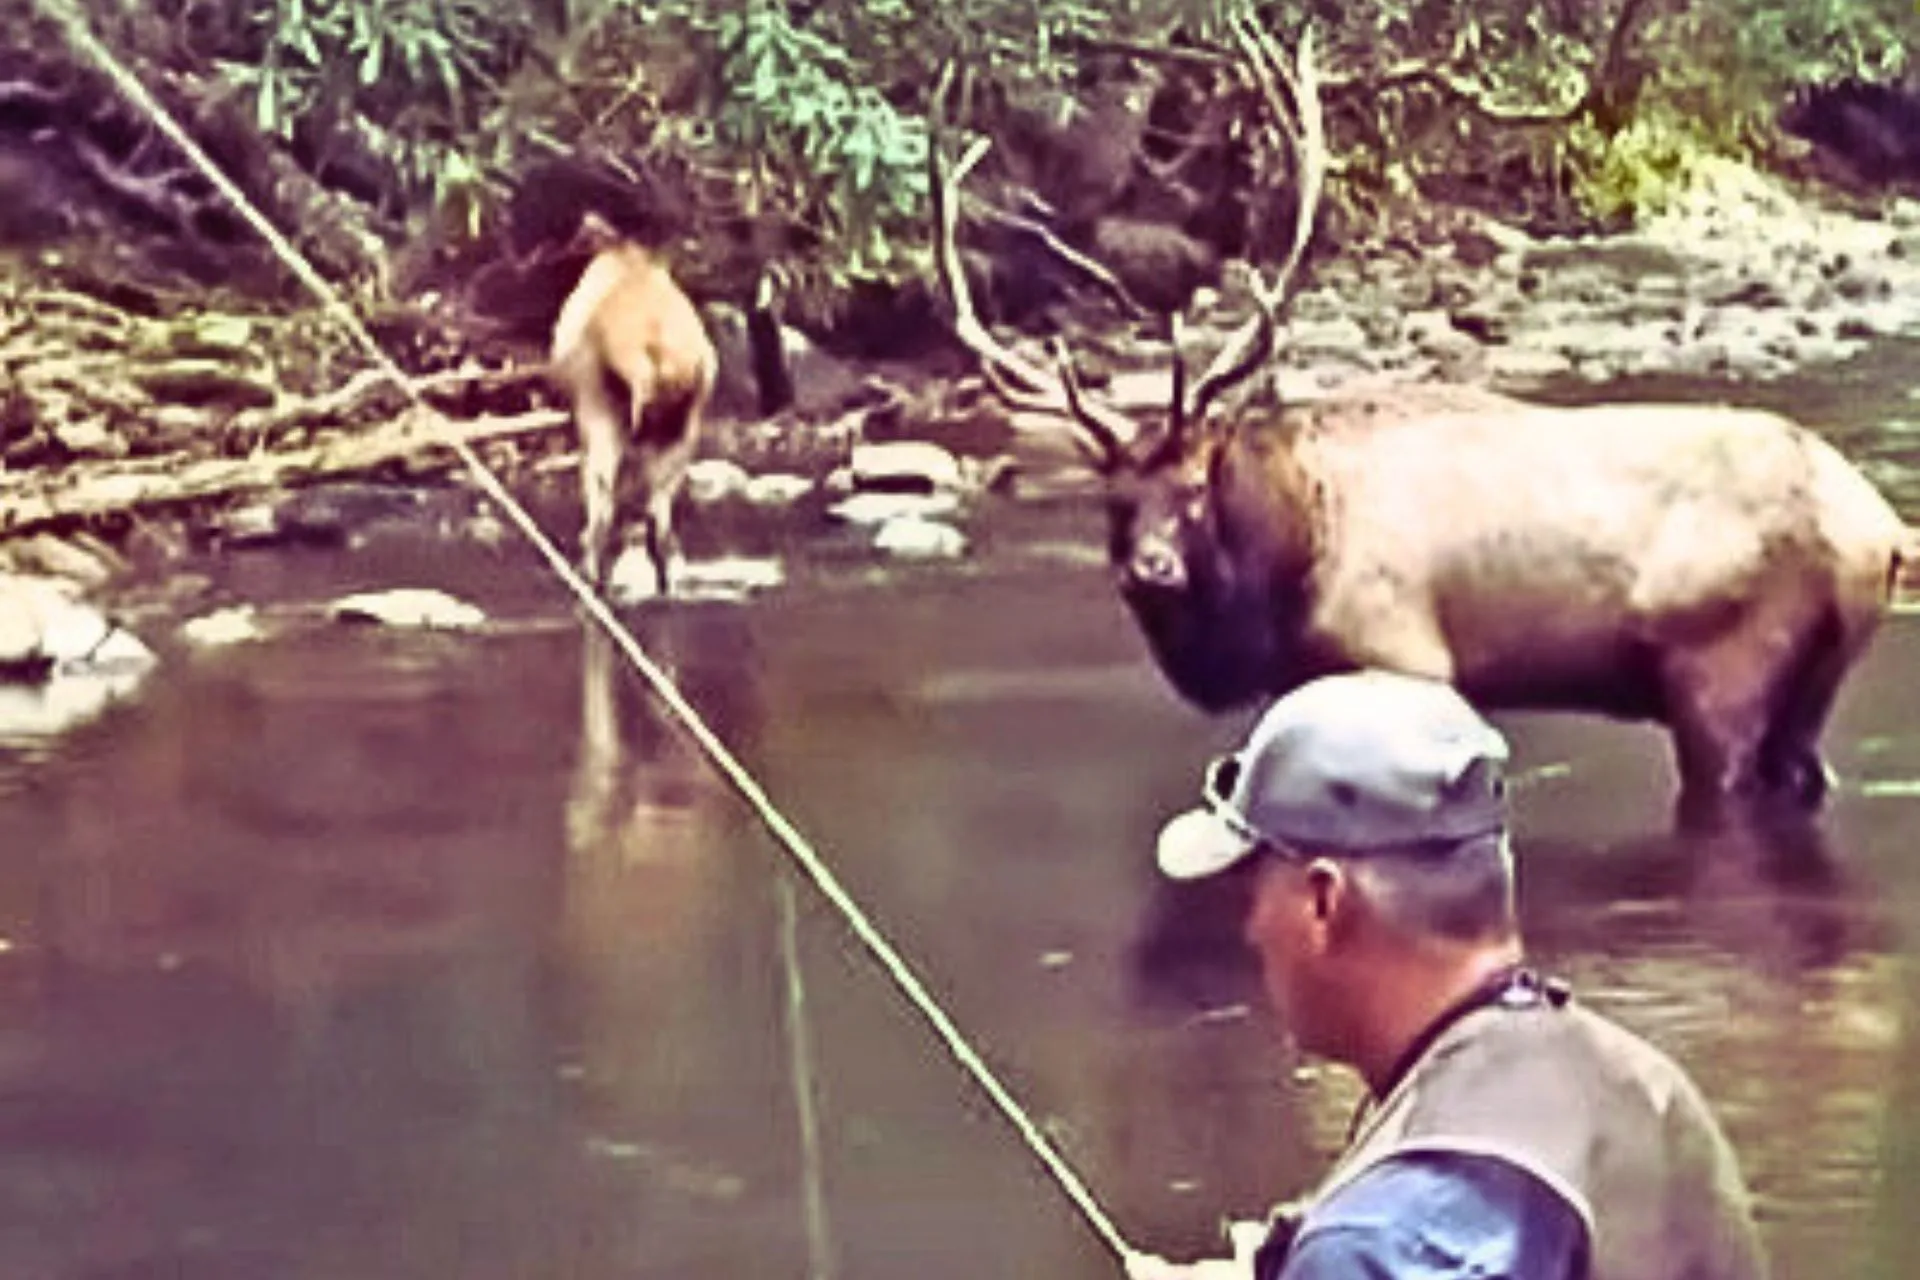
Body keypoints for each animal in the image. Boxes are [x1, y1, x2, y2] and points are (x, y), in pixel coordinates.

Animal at [929, 22, 1917, 824]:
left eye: (1197, 485)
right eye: (1113, 499)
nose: (1152, 570)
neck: (1284, 570)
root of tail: (1876, 528)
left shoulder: (1403, 655)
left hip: (1722, 667)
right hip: (1810, 688)